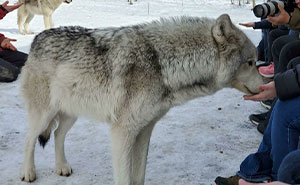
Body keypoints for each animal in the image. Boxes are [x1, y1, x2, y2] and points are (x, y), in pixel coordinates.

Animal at [18, 14, 264, 185]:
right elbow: (125, 177)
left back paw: (62, 167)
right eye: (250, 62)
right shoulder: (122, 133)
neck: (163, 64)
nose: (266, 83)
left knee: (58, 135)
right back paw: (28, 173)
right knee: (30, 139)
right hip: (44, 114)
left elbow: (139, 175)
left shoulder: (145, 130)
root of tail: (37, 39)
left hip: (72, 114)